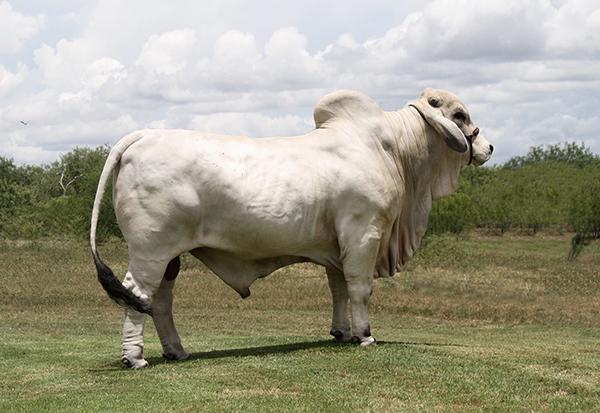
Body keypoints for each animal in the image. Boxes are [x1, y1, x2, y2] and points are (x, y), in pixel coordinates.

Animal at [89, 87, 492, 366]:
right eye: (459, 113)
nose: (488, 147)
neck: (392, 149)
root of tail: (142, 135)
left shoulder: (337, 245)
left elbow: (338, 289)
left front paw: (341, 333)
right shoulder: (364, 233)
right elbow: (360, 288)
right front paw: (364, 335)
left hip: (170, 256)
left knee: (159, 301)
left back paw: (176, 351)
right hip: (151, 249)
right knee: (136, 293)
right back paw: (135, 358)